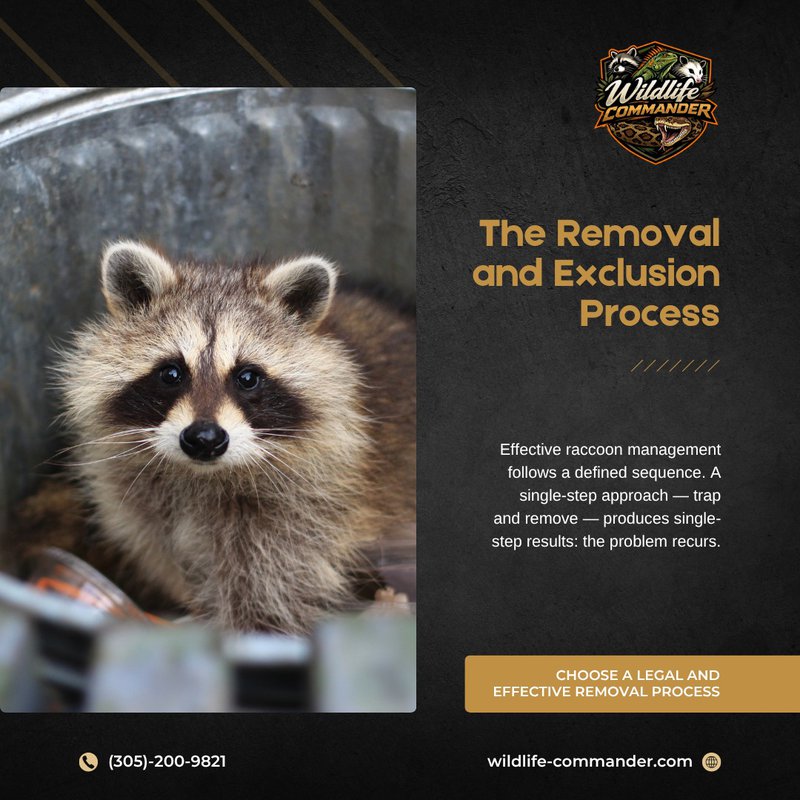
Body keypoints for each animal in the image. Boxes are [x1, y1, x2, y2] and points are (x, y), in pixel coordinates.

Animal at [50, 241, 415, 634]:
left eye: (248, 377)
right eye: (171, 373)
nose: (204, 438)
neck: (201, 477)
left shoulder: (307, 515)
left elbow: (268, 596)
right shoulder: (141, 504)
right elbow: (164, 553)